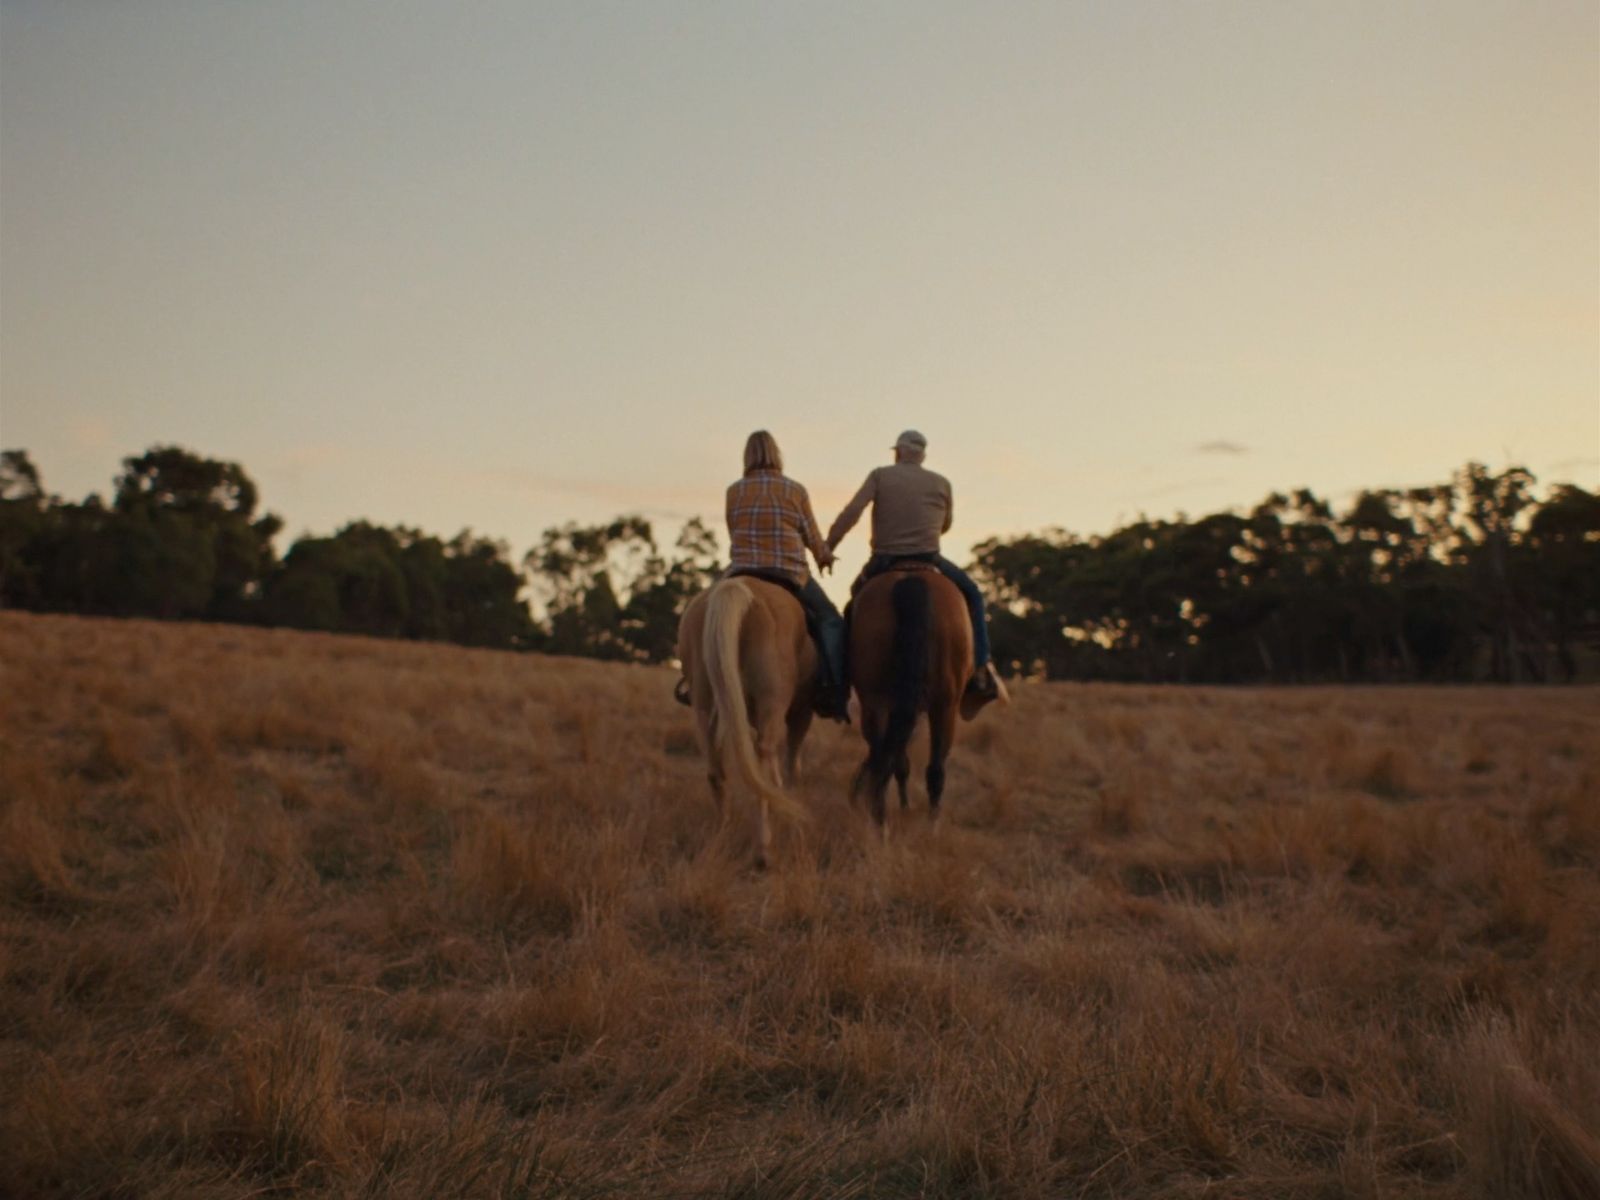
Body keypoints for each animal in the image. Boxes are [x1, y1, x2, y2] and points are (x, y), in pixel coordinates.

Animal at [678, 579, 819, 870]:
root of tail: (736, 587)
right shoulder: (801, 712)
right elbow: (790, 764)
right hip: (772, 702)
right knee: (763, 760)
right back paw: (763, 852)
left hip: (704, 701)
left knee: (716, 769)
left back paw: (723, 833)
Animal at [857, 566, 979, 838]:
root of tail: (911, 579)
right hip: (943, 705)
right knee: (932, 768)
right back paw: (927, 826)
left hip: (878, 702)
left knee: (886, 758)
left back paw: (881, 822)